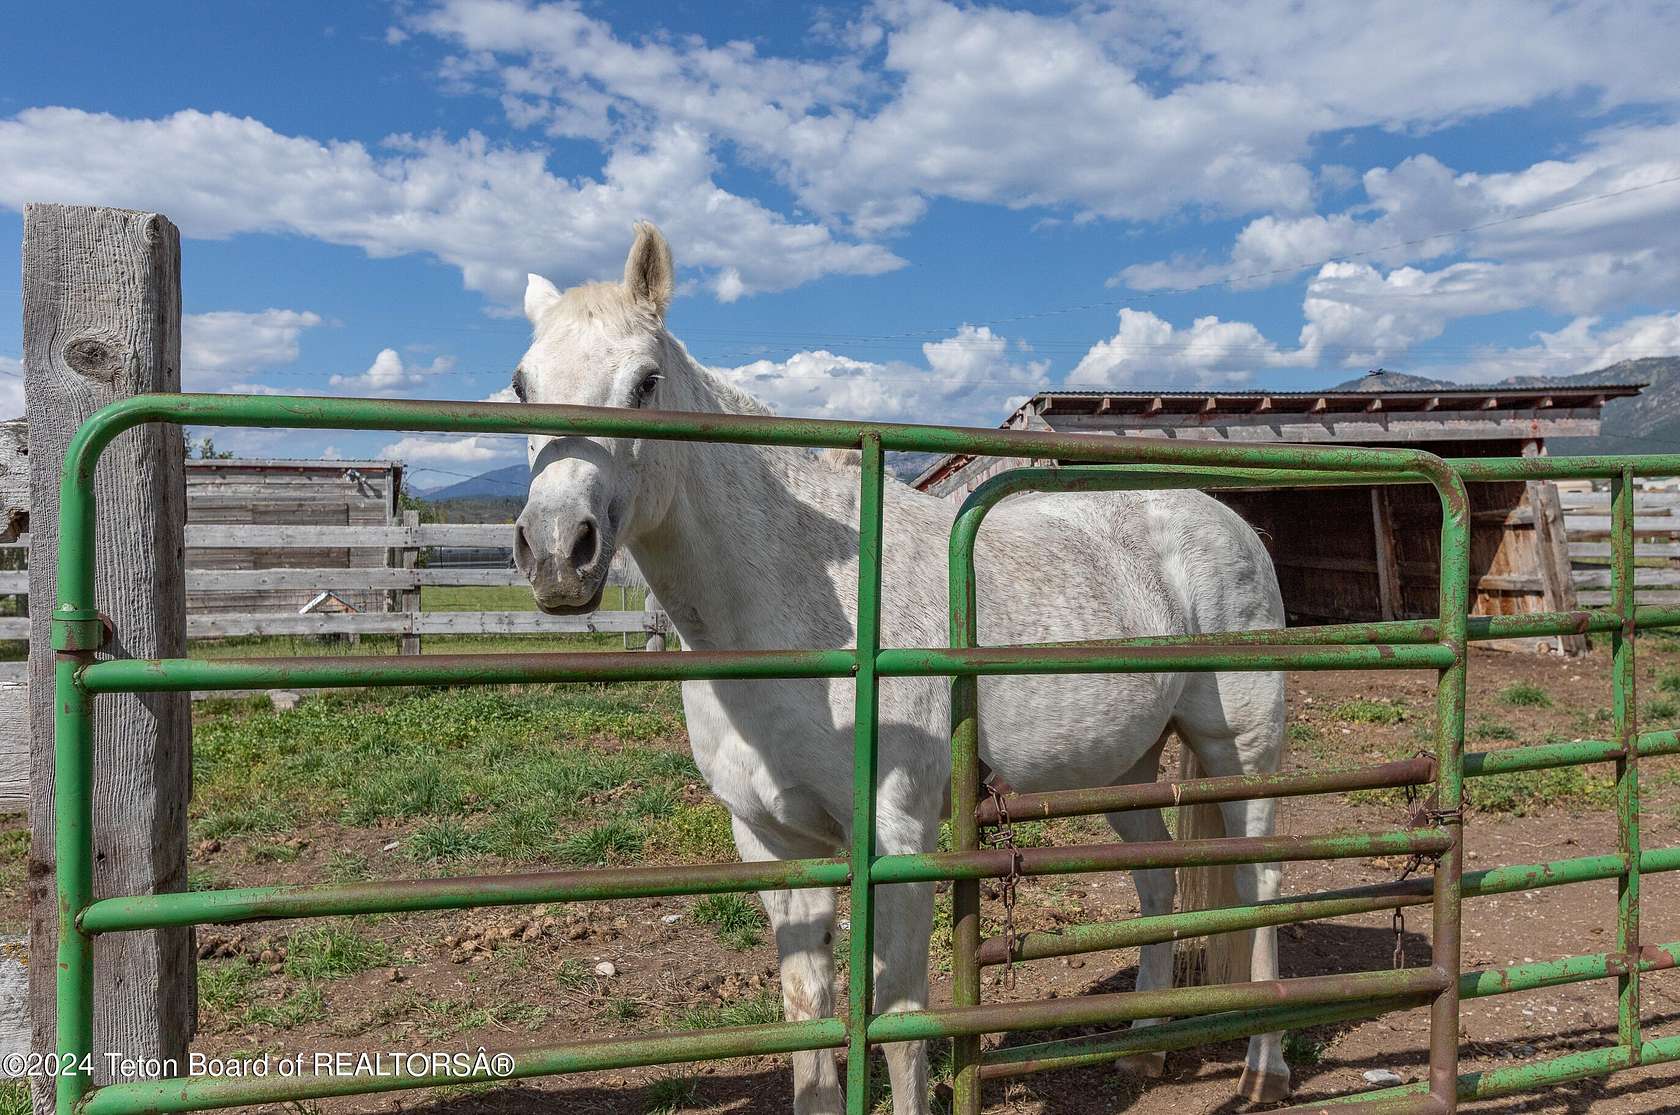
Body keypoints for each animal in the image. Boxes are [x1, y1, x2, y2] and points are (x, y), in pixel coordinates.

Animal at [507, 221, 1283, 1108]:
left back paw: (1264, 1068)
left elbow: (901, 1017)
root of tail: (1228, 520)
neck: (804, 618)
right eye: (523, 385)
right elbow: (808, 1014)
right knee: (1157, 885)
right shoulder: (773, 839)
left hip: (1240, 752)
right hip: (1127, 766)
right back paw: (1146, 1049)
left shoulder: (896, 836)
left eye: (645, 381)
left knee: (1262, 884)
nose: (556, 551)